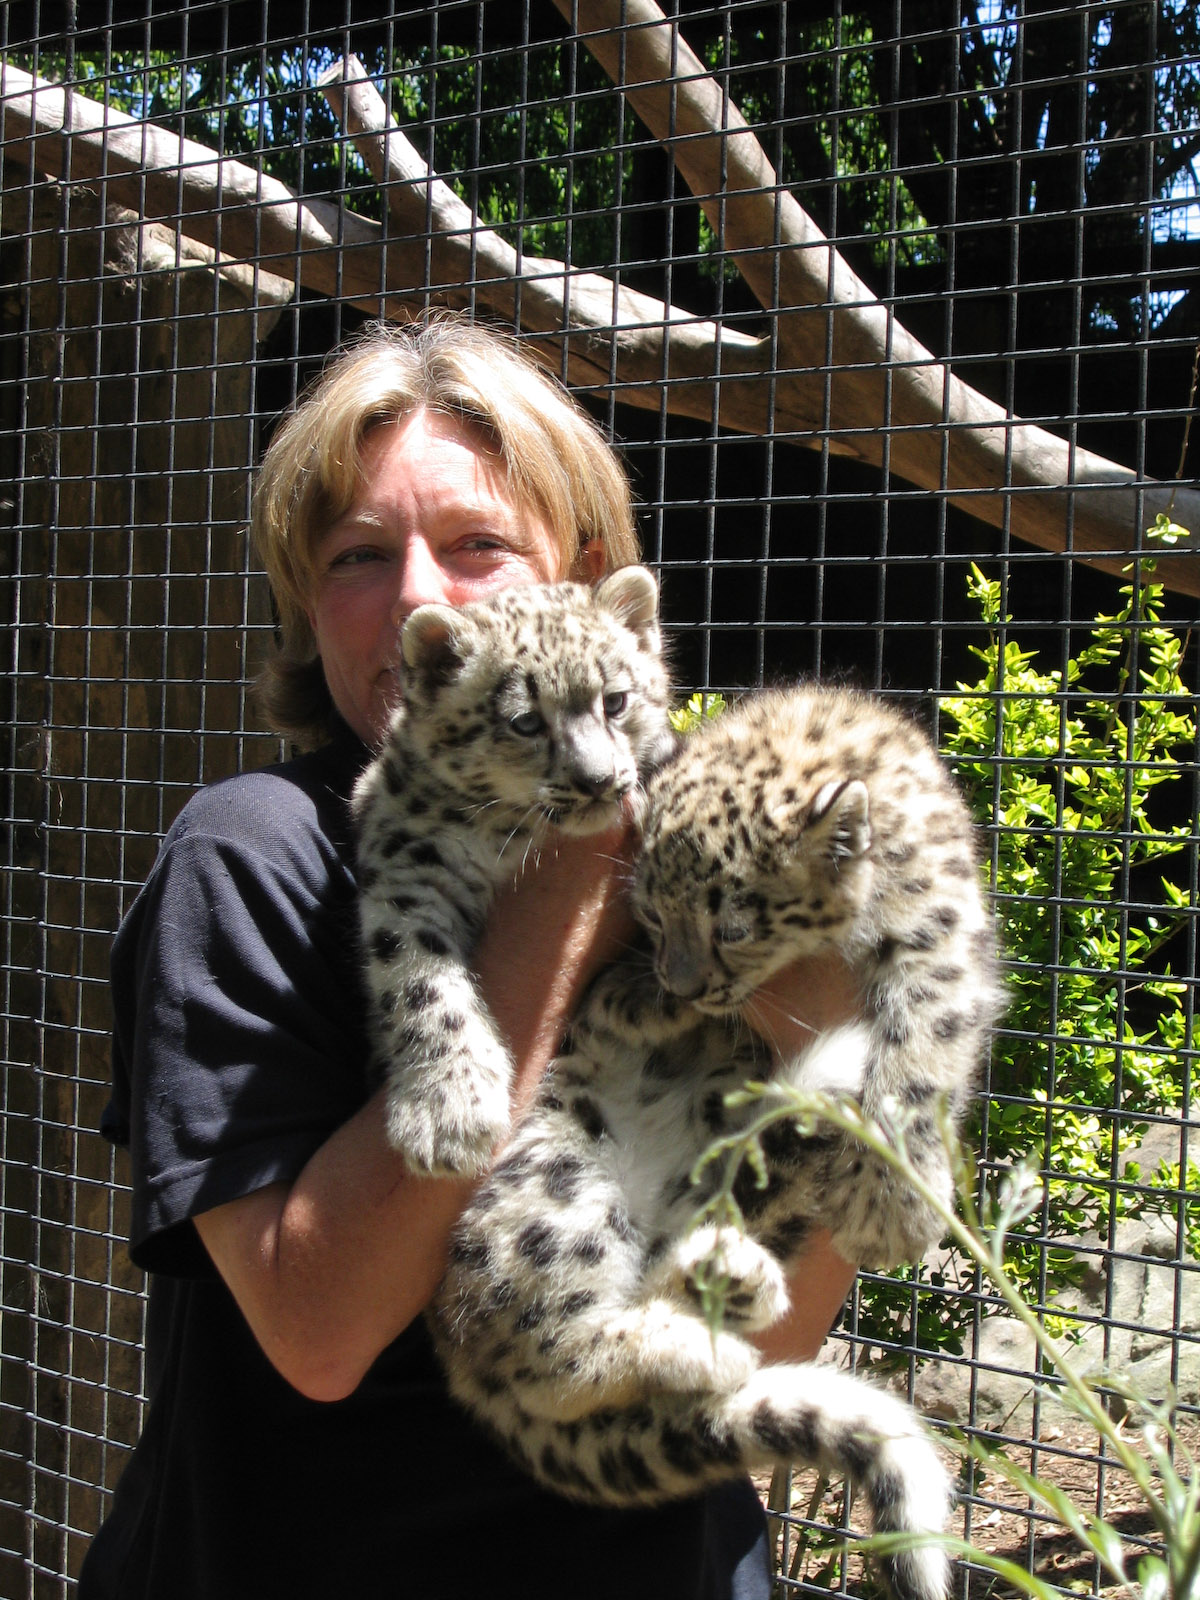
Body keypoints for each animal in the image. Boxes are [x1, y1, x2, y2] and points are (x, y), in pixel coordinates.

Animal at [350, 564, 675, 1178]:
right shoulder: (409, 861)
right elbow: (416, 974)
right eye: (525, 722)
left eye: (616, 701)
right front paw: (446, 1111)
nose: (597, 779)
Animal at [428, 683, 1005, 1600]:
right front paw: (641, 1000)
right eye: (649, 914)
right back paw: (712, 1343)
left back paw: (731, 1276)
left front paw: (892, 1201)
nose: (681, 983)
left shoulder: (941, 926)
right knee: (554, 1353)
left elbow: (925, 1038)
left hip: (737, 1195)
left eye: (734, 926)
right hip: (553, 1189)